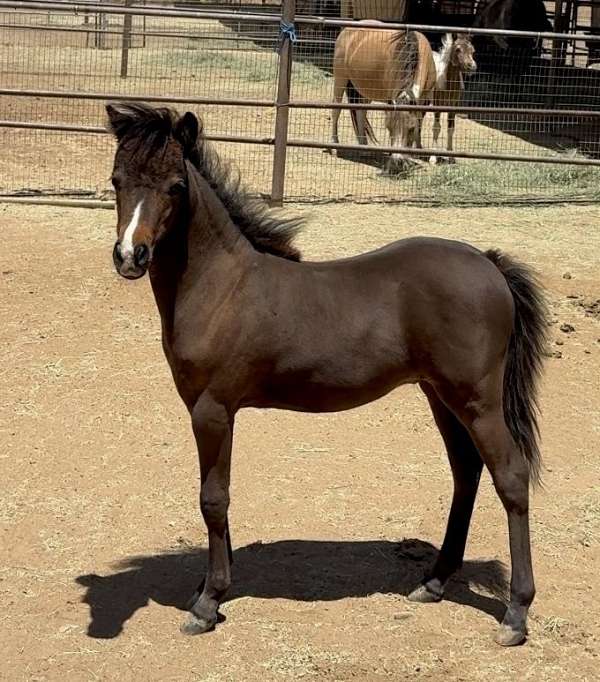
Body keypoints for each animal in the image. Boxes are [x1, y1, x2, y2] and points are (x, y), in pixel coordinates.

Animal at [106, 101, 548, 647]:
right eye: (117, 179)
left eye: (175, 186)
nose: (130, 256)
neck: (222, 288)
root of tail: (487, 262)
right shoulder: (213, 411)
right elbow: (218, 498)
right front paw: (210, 587)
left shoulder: (212, 411)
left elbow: (213, 498)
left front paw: (208, 603)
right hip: (440, 396)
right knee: (466, 471)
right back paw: (434, 581)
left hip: (478, 400)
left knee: (510, 476)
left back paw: (515, 615)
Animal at [330, 23, 437, 171]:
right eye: (388, 128)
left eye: (410, 128)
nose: (398, 161)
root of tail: (347, 30)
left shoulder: (424, 98)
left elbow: (419, 123)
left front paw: (413, 154)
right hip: (341, 78)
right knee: (336, 110)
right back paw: (334, 145)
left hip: (365, 89)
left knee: (361, 113)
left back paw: (364, 148)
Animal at [430, 33, 477, 165]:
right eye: (458, 49)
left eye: (473, 50)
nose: (472, 67)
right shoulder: (437, 105)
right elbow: (436, 128)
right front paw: (433, 157)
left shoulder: (453, 107)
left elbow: (451, 129)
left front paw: (451, 156)